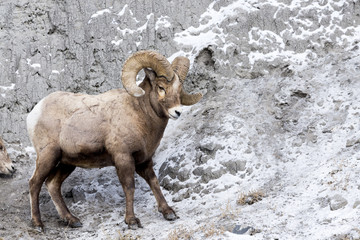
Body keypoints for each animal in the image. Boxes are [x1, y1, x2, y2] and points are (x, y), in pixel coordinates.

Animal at [26, 49, 202, 232]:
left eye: (179, 89)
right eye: (161, 87)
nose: (177, 112)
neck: (140, 114)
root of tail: (34, 113)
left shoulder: (144, 160)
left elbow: (154, 182)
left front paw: (168, 212)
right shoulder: (123, 157)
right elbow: (129, 187)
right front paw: (132, 221)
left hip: (67, 163)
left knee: (52, 184)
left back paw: (72, 220)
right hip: (48, 156)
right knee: (34, 184)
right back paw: (38, 224)